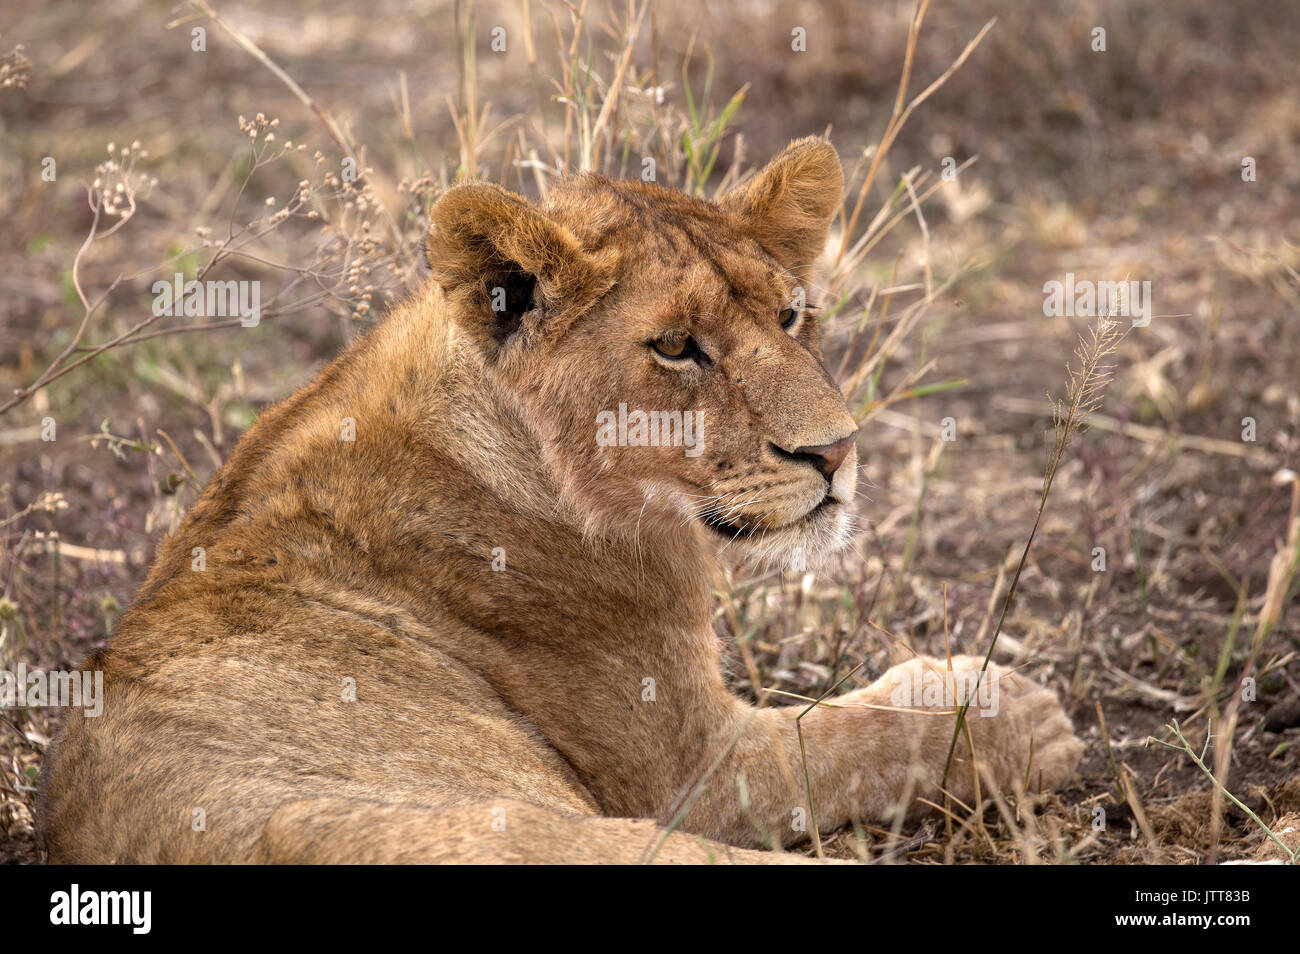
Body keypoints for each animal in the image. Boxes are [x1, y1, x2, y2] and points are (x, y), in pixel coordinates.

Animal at [38, 138, 1082, 863]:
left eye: (792, 315)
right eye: (676, 348)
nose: (835, 452)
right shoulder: (692, 774)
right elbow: (857, 735)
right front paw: (1013, 713)